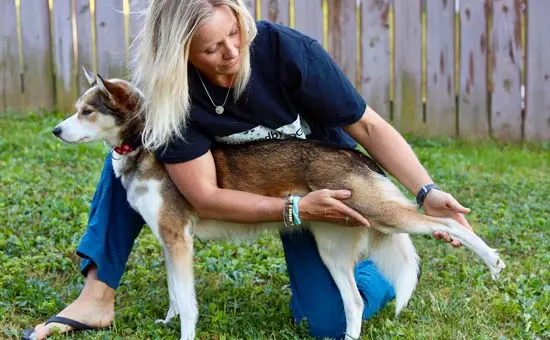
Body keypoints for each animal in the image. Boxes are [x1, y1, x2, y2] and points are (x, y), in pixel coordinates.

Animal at [54, 69, 506, 340]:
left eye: (87, 111)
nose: (56, 130)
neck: (144, 144)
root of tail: (355, 155)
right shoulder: (170, 240)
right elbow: (175, 294)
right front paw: (167, 320)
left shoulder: (177, 238)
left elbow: (189, 304)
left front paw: (183, 332)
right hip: (332, 249)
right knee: (354, 302)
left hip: (383, 214)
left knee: (446, 222)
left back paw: (490, 258)